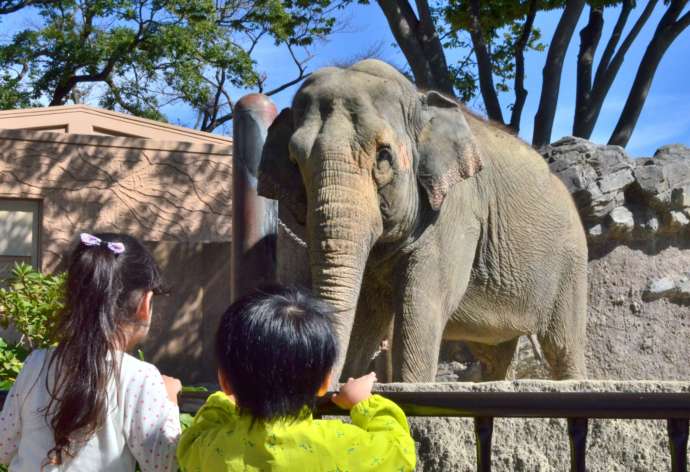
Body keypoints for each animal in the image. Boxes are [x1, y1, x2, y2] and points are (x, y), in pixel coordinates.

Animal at [258, 59, 584, 384]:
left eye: (384, 156)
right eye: (295, 160)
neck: (418, 97)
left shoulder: (457, 209)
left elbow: (423, 304)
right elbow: (368, 309)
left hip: (570, 264)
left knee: (562, 347)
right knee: (495, 352)